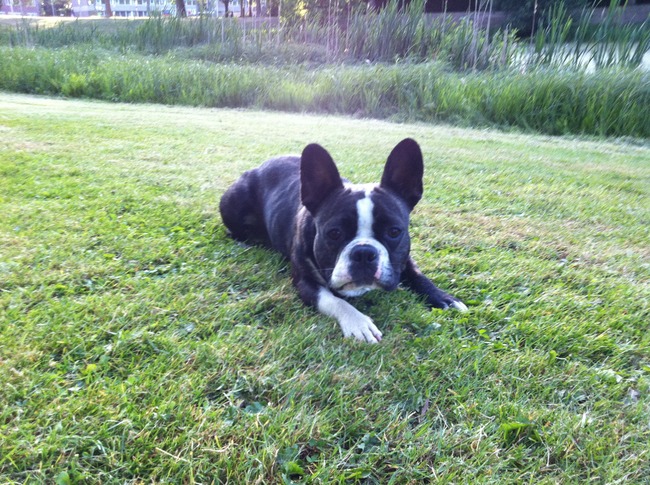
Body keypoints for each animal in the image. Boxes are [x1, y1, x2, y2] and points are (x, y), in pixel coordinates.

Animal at [219, 138, 467, 343]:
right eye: (334, 233)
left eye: (394, 232)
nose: (364, 253)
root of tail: (258, 167)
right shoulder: (305, 282)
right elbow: (333, 300)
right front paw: (358, 323)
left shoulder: (403, 259)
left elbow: (418, 275)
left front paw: (443, 297)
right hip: (232, 204)